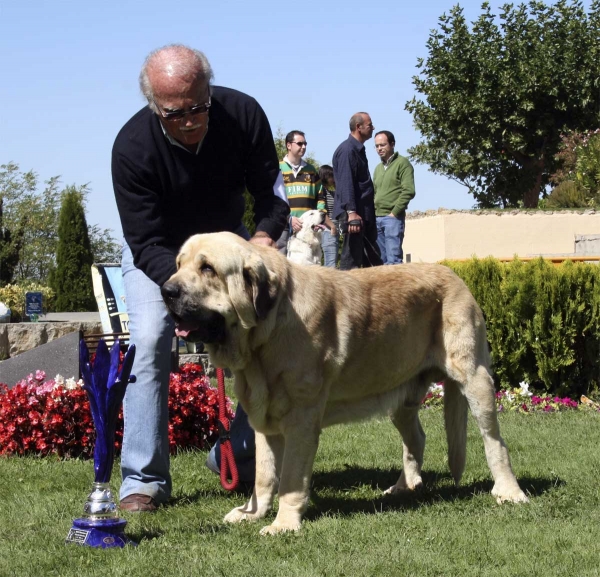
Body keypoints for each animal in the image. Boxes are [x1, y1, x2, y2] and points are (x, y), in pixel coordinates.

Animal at [162, 231, 528, 536]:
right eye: (179, 264)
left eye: (207, 268)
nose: (166, 291)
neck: (268, 331)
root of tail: (455, 275)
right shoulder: (264, 422)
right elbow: (265, 475)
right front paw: (252, 513)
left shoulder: (301, 422)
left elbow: (290, 479)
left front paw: (283, 524)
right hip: (400, 395)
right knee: (416, 439)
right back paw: (404, 486)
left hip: (475, 379)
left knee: (495, 441)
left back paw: (509, 492)